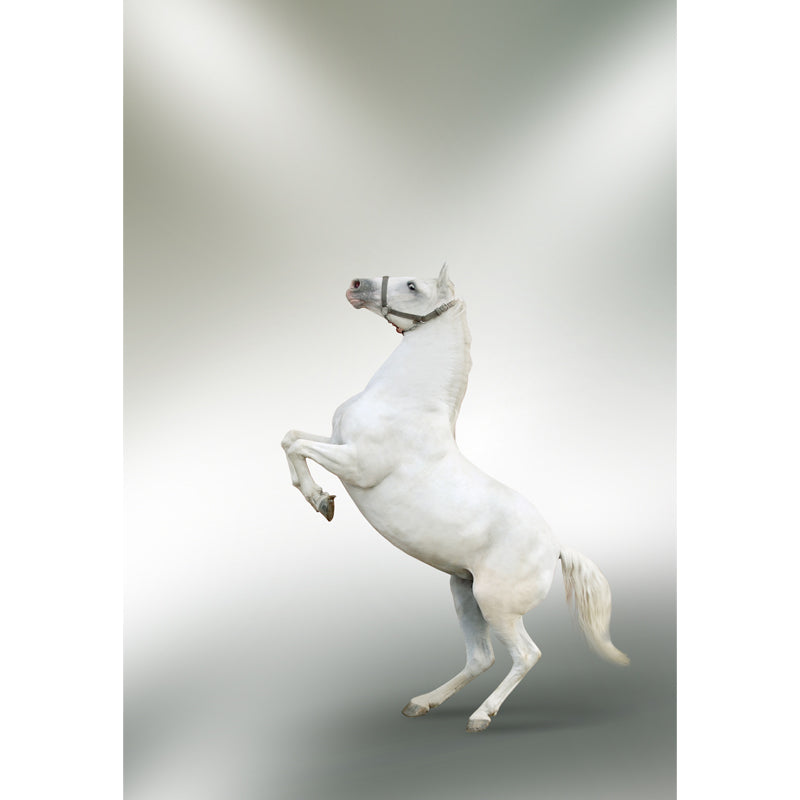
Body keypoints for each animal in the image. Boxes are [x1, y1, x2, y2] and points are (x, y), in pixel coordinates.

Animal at [281, 265, 629, 733]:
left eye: (413, 286)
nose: (355, 286)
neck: (404, 402)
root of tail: (556, 548)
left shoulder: (356, 465)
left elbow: (298, 447)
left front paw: (323, 502)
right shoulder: (337, 441)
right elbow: (291, 437)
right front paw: (320, 500)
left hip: (497, 605)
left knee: (526, 655)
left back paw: (482, 717)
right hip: (465, 592)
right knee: (481, 658)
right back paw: (422, 703)